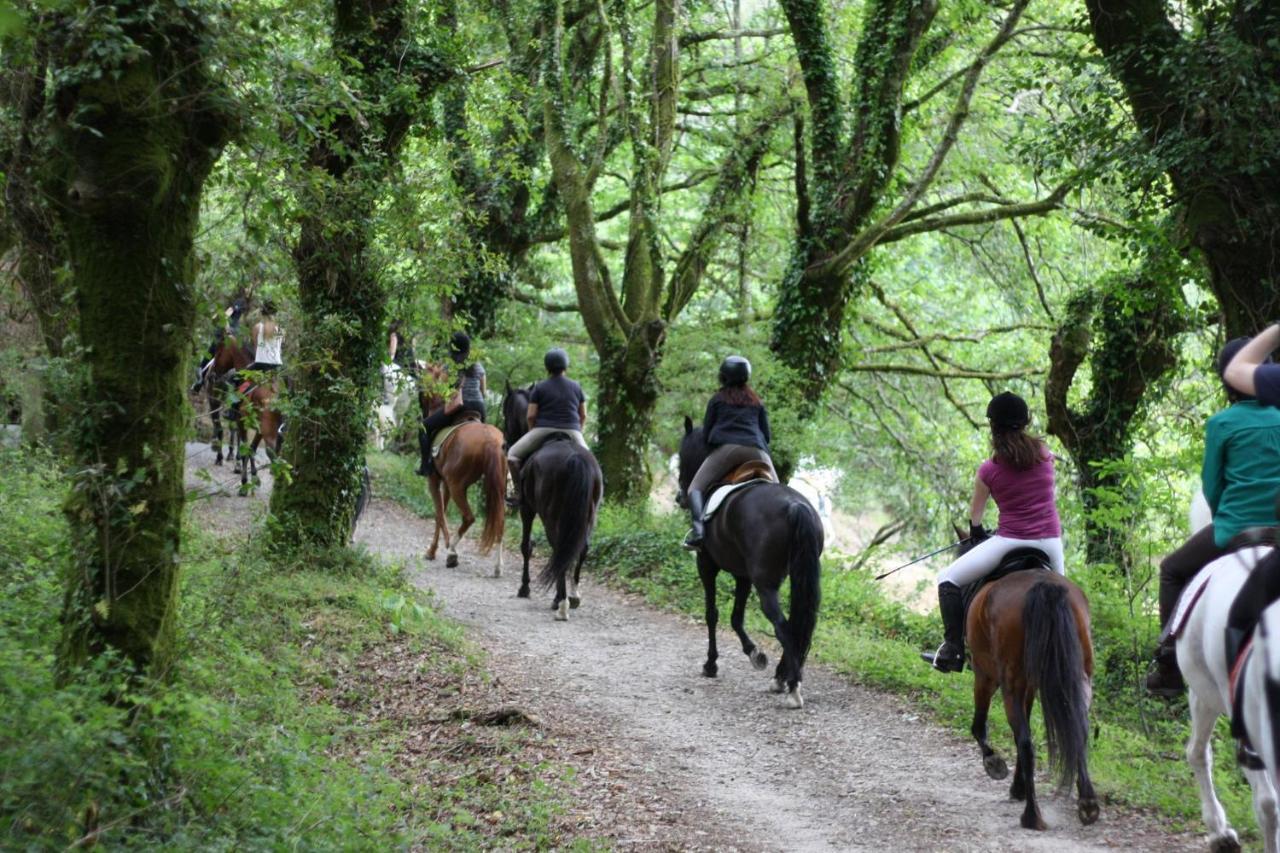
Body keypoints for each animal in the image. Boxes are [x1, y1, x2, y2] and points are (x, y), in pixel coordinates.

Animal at [675, 414, 824, 706]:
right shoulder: (743, 574)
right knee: (798, 625)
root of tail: (796, 506)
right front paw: (755, 654)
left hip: (765, 583)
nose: (680, 497)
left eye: (683, 456)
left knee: (783, 627)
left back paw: (792, 687)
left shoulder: (706, 565)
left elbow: (713, 614)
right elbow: (736, 618)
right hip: (791, 577)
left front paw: (711, 664)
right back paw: (782, 678)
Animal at [962, 532, 1100, 829]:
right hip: (1079, 677)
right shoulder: (1029, 686)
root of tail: (1044, 585)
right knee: (1079, 729)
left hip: (1008, 682)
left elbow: (980, 726)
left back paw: (1032, 815)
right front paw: (1018, 787)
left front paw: (994, 764)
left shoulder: (985, 674)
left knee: (1026, 743)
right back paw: (1087, 804)